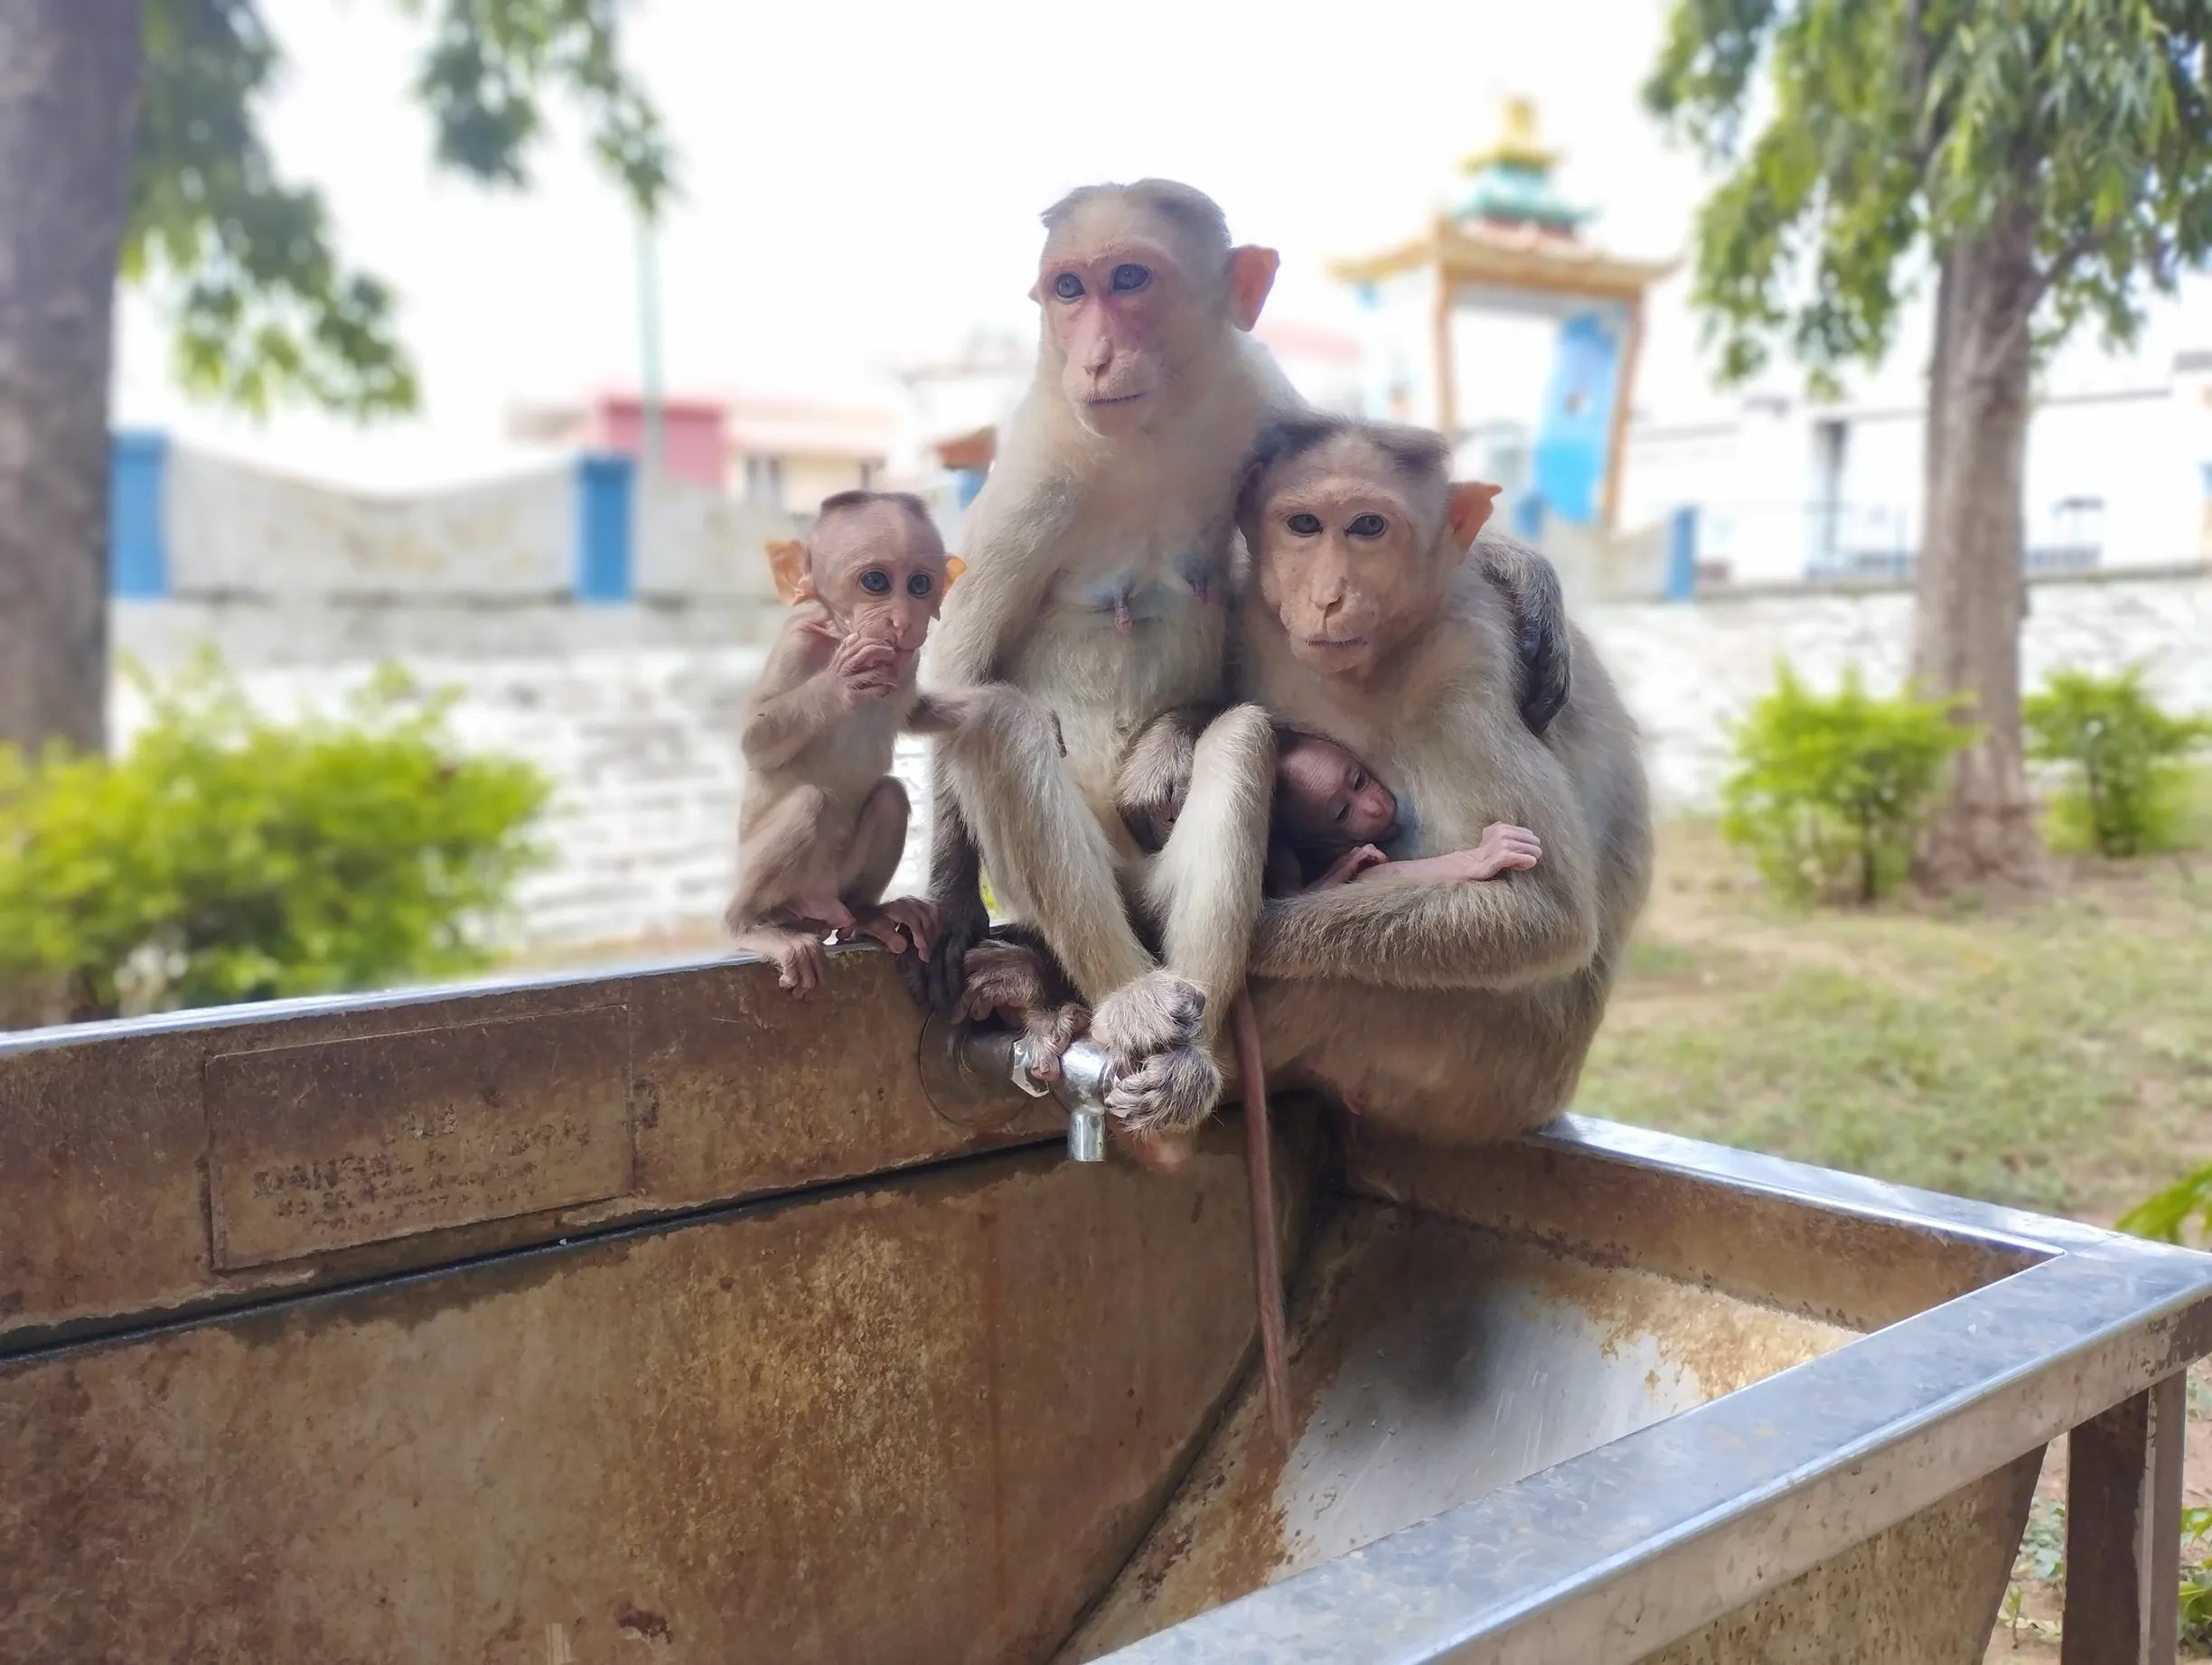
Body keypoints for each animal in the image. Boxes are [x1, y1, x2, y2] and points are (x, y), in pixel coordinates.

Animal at [724, 491, 972, 1000]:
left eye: (920, 584)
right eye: (875, 582)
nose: (903, 620)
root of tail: (820, 901)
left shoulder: (907, 660)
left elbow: (912, 711)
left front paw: (997, 705)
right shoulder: (797, 640)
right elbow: (753, 740)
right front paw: (841, 679)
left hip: (837, 885)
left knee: (891, 796)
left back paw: (867, 912)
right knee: (809, 802)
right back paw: (750, 926)